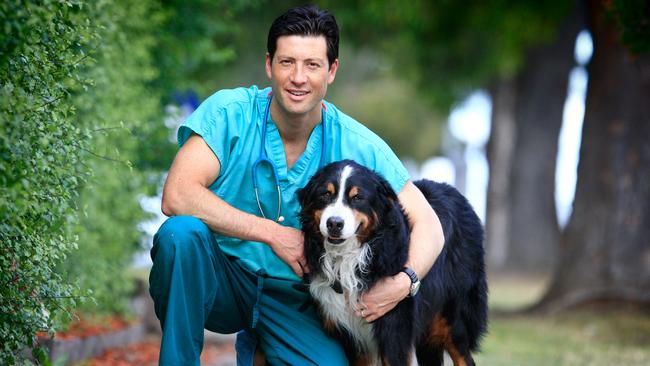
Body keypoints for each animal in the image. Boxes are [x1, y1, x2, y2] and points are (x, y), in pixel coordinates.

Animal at [296, 160, 484, 366]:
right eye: (325, 194)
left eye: (357, 197)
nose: (334, 224)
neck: (349, 257)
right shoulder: (352, 336)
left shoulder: (394, 328)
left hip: (450, 317)